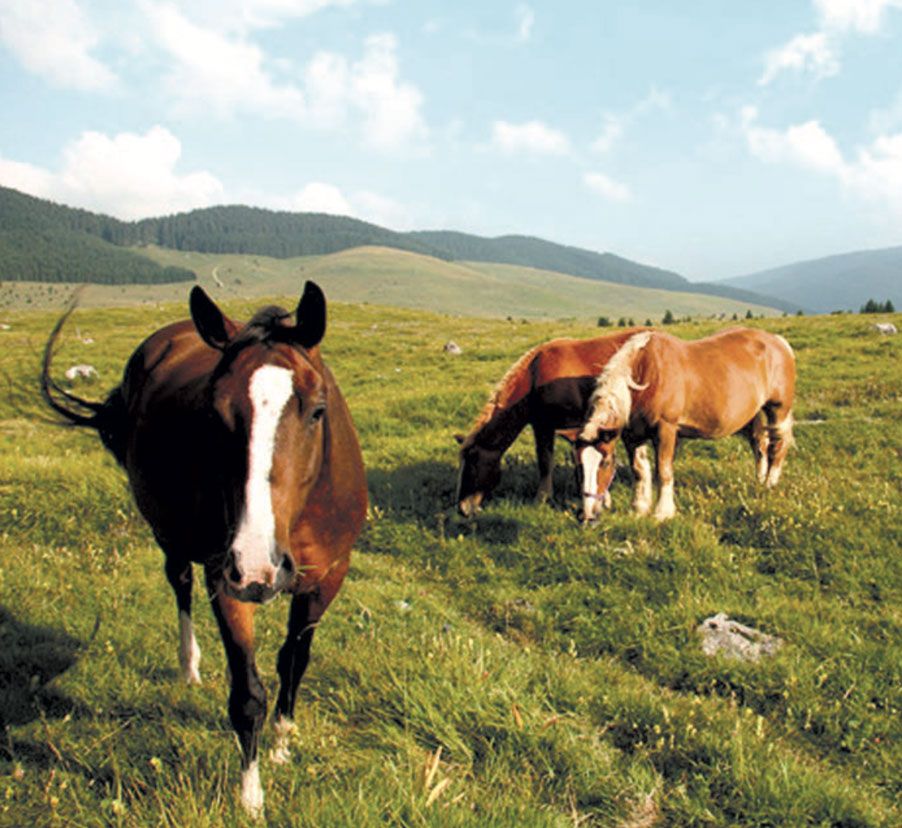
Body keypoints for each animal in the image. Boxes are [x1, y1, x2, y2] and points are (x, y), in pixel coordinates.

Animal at [41, 282, 367, 816]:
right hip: (170, 534)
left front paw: (282, 743)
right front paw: (251, 797)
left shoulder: (326, 579)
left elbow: (293, 661)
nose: (259, 566)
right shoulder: (227, 579)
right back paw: (189, 665)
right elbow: (247, 694)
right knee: (180, 583)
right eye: (214, 414)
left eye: (317, 410)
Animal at [454, 329, 650, 520]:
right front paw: (543, 498)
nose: (462, 509)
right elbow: (545, 460)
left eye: (472, 464)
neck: (535, 376)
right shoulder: (542, 425)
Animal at [578, 327, 795, 521]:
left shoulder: (666, 429)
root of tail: (778, 341)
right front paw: (639, 508)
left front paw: (663, 512)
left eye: (605, 463)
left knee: (778, 445)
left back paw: (769, 484)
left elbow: (664, 471)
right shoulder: (632, 435)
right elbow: (639, 471)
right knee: (760, 446)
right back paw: (759, 480)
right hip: (755, 414)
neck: (645, 372)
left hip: (778, 410)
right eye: (580, 465)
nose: (588, 515)